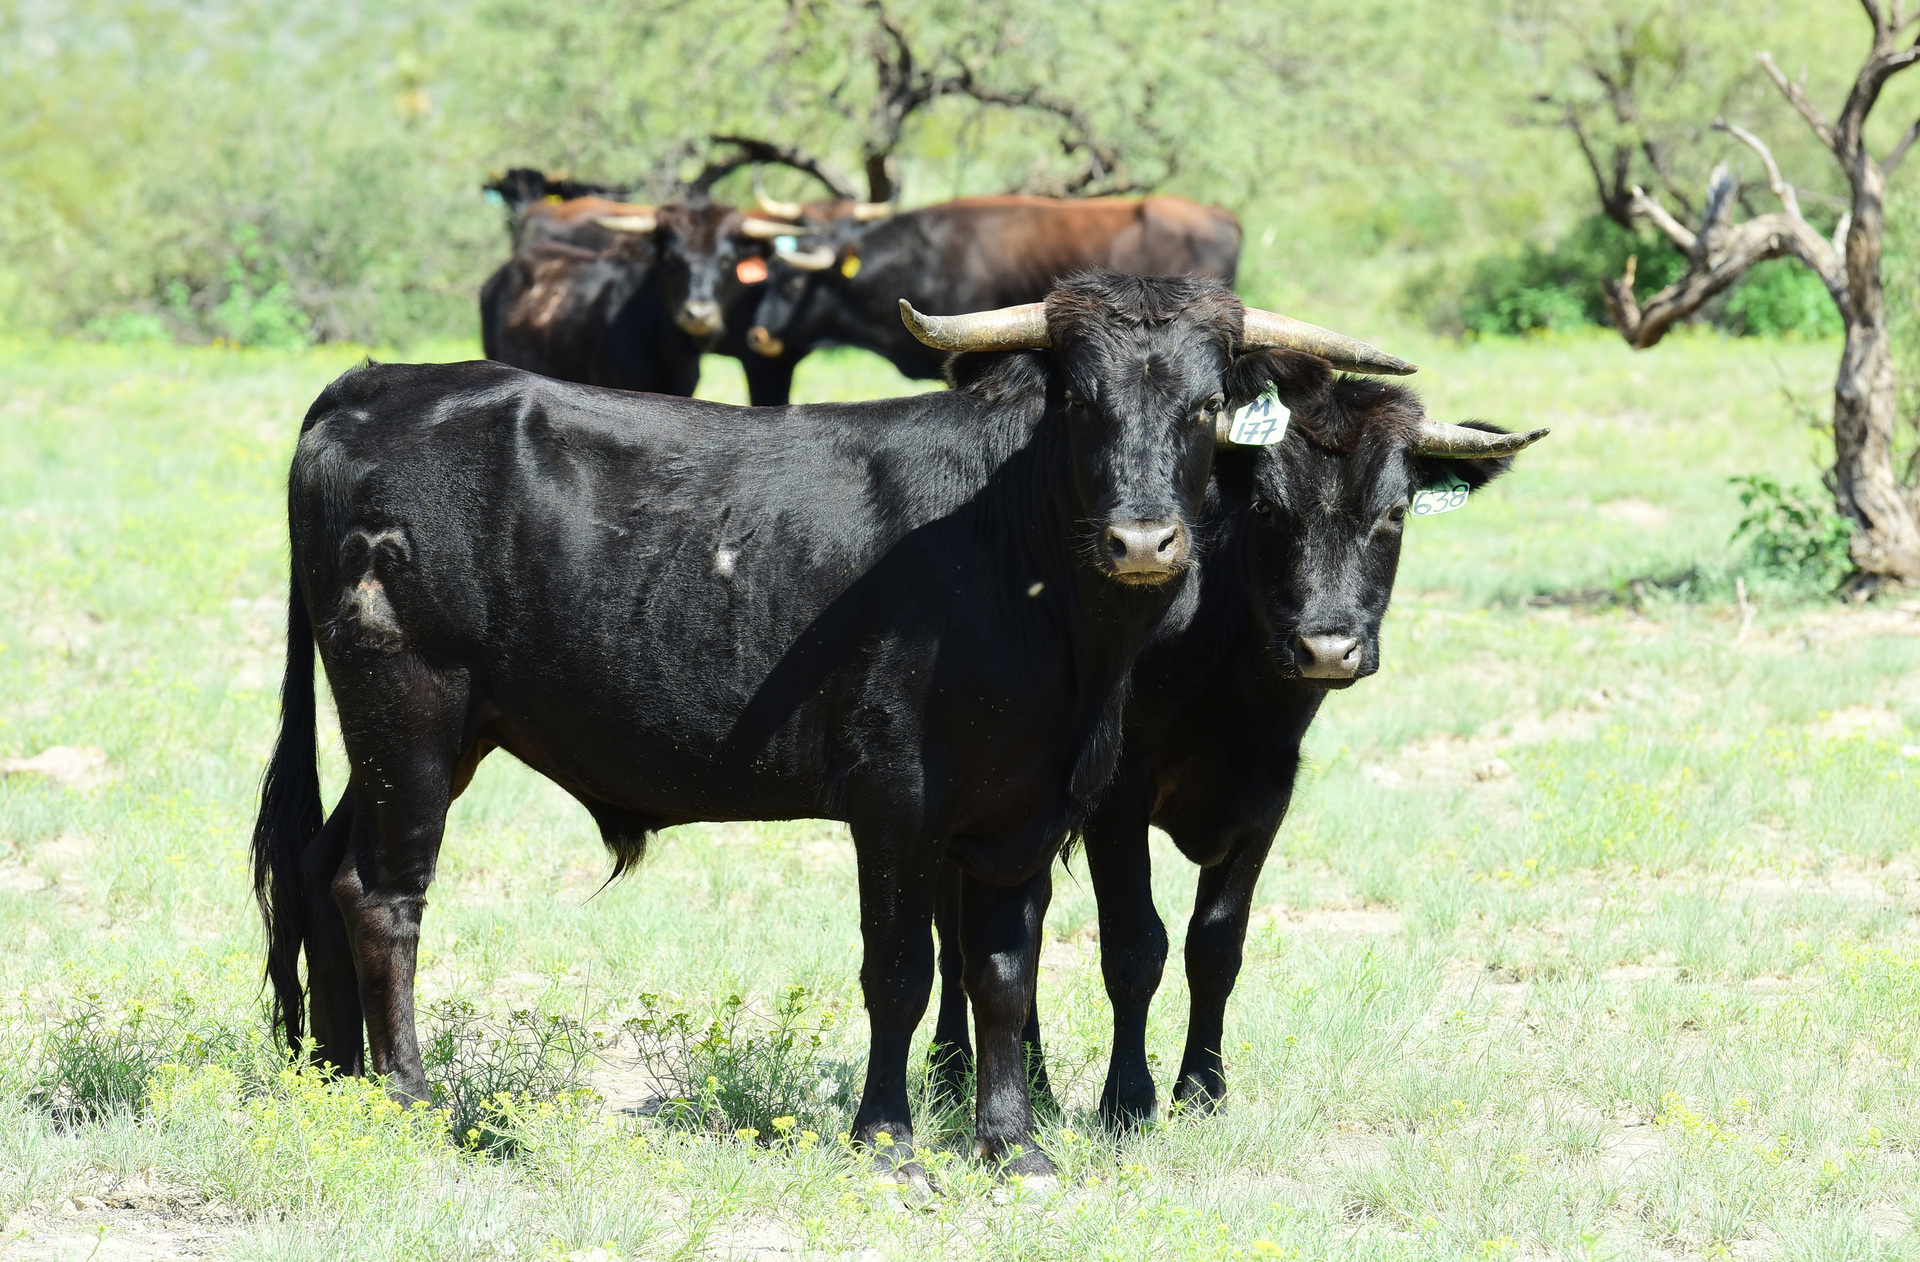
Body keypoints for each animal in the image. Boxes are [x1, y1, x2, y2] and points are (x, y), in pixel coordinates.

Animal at [250, 272, 1415, 1190]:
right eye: (1082, 399)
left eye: (1207, 404)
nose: (1143, 540)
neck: (1017, 561)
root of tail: (378, 383)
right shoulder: (894, 798)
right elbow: (901, 969)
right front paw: (889, 1140)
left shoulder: (1029, 813)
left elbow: (1003, 971)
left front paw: (1013, 1144)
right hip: (412, 705)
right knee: (383, 892)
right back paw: (409, 1097)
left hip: (429, 735)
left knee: (322, 867)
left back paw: (333, 1078)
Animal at [925, 365, 1546, 1128]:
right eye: (1269, 509)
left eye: (1395, 512)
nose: (1327, 648)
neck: (1231, 688)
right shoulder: (1116, 796)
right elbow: (1135, 946)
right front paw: (1127, 1099)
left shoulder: (1267, 797)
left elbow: (1216, 944)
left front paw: (1201, 1088)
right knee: (956, 929)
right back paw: (952, 1072)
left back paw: (1034, 1083)